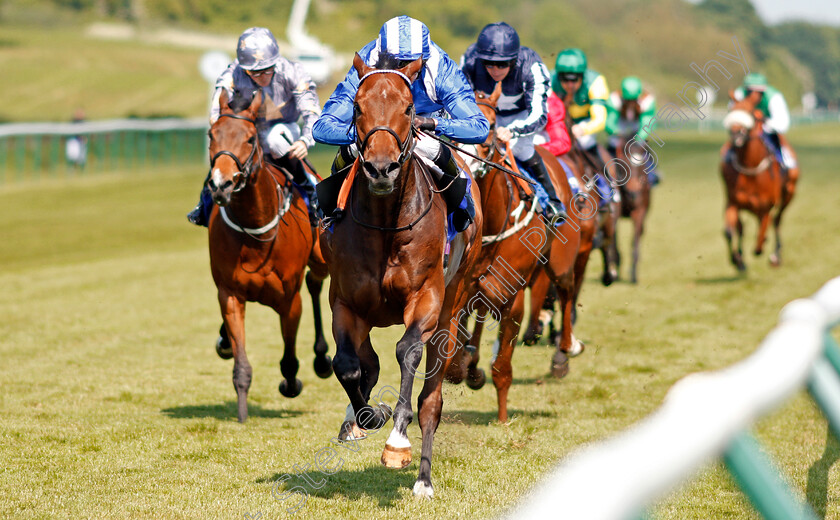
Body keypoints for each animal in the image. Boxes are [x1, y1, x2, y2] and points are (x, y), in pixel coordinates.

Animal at [205, 89, 330, 422]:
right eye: (212, 135)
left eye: (249, 138)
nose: (220, 184)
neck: (255, 231)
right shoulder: (230, 295)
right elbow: (241, 365)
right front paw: (242, 411)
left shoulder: (289, 299)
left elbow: (289, 360)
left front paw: (291, 382)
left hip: (322, 256)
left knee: (316, 281)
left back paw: (322, 358)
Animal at [320, 54, 482, 498]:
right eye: (357, 107)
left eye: (409, 109)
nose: (381, 168)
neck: (386, 226)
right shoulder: (345, 303)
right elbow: (348, 365)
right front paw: (369, 416)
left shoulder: (426, 298)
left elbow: (407, 350)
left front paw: (396, 441)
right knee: (368, 363)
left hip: (451, 307)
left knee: (432, 400)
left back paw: (423, 477)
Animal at [450, 83, 580, 420]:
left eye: (491, 123)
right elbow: (454, 355)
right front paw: (467, 367)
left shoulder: (512, 295)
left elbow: (502, 366)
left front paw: (503, 418)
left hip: (561, 263)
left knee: (567, 291)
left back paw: (568, 346)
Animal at [720, 91, 796, 270]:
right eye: (731, 109)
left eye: (750, 112)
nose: (736, 134)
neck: (750, 171)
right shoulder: (732, 202)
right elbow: (729, 231)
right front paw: (737, 259)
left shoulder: (766, 206)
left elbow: (760, 237)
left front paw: (761, 247)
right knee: (741, 228)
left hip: (789, 193)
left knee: (777, 221)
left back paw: (776, 255)